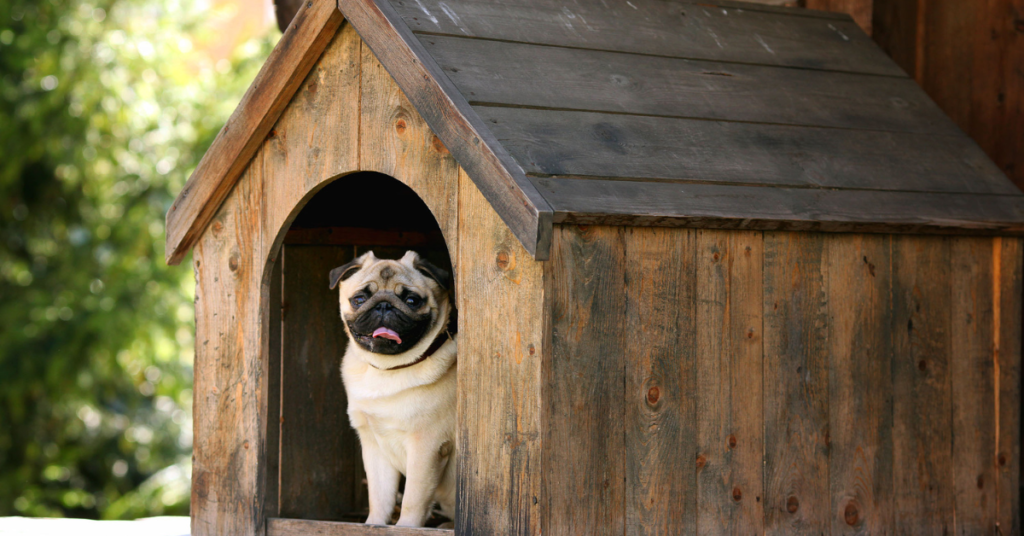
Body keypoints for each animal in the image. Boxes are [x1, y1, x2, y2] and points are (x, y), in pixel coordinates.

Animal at [329, 252, 458, 528]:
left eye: (412, 300)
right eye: (359, 299)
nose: (384, 306)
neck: (387, 369)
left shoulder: (426, 447)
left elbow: (413, 498)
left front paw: (406, 528)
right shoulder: (374, 446)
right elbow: (380, 496)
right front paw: (374, 525)